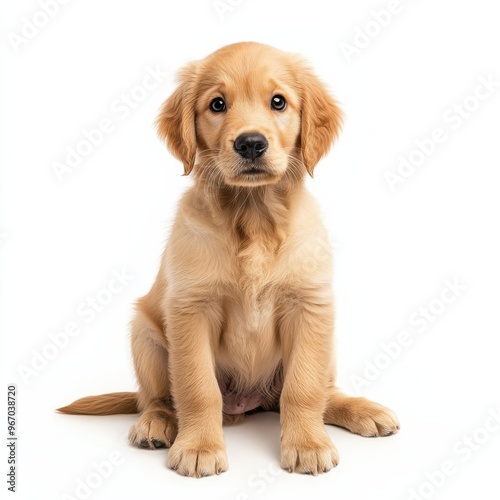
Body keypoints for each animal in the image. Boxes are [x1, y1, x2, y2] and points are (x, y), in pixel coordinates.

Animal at [58, 42, 400, 476]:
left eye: (278, 101)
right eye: (217, 104)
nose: (250, 143)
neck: (253, 217)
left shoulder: (310, 305)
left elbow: (304, 388)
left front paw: (307, 444)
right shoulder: (190, 309)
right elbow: (197, 388)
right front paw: (199, 447)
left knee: (322, 391)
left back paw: (362, 410)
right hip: (145, 334)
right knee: (154, 398)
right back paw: (155, 424)